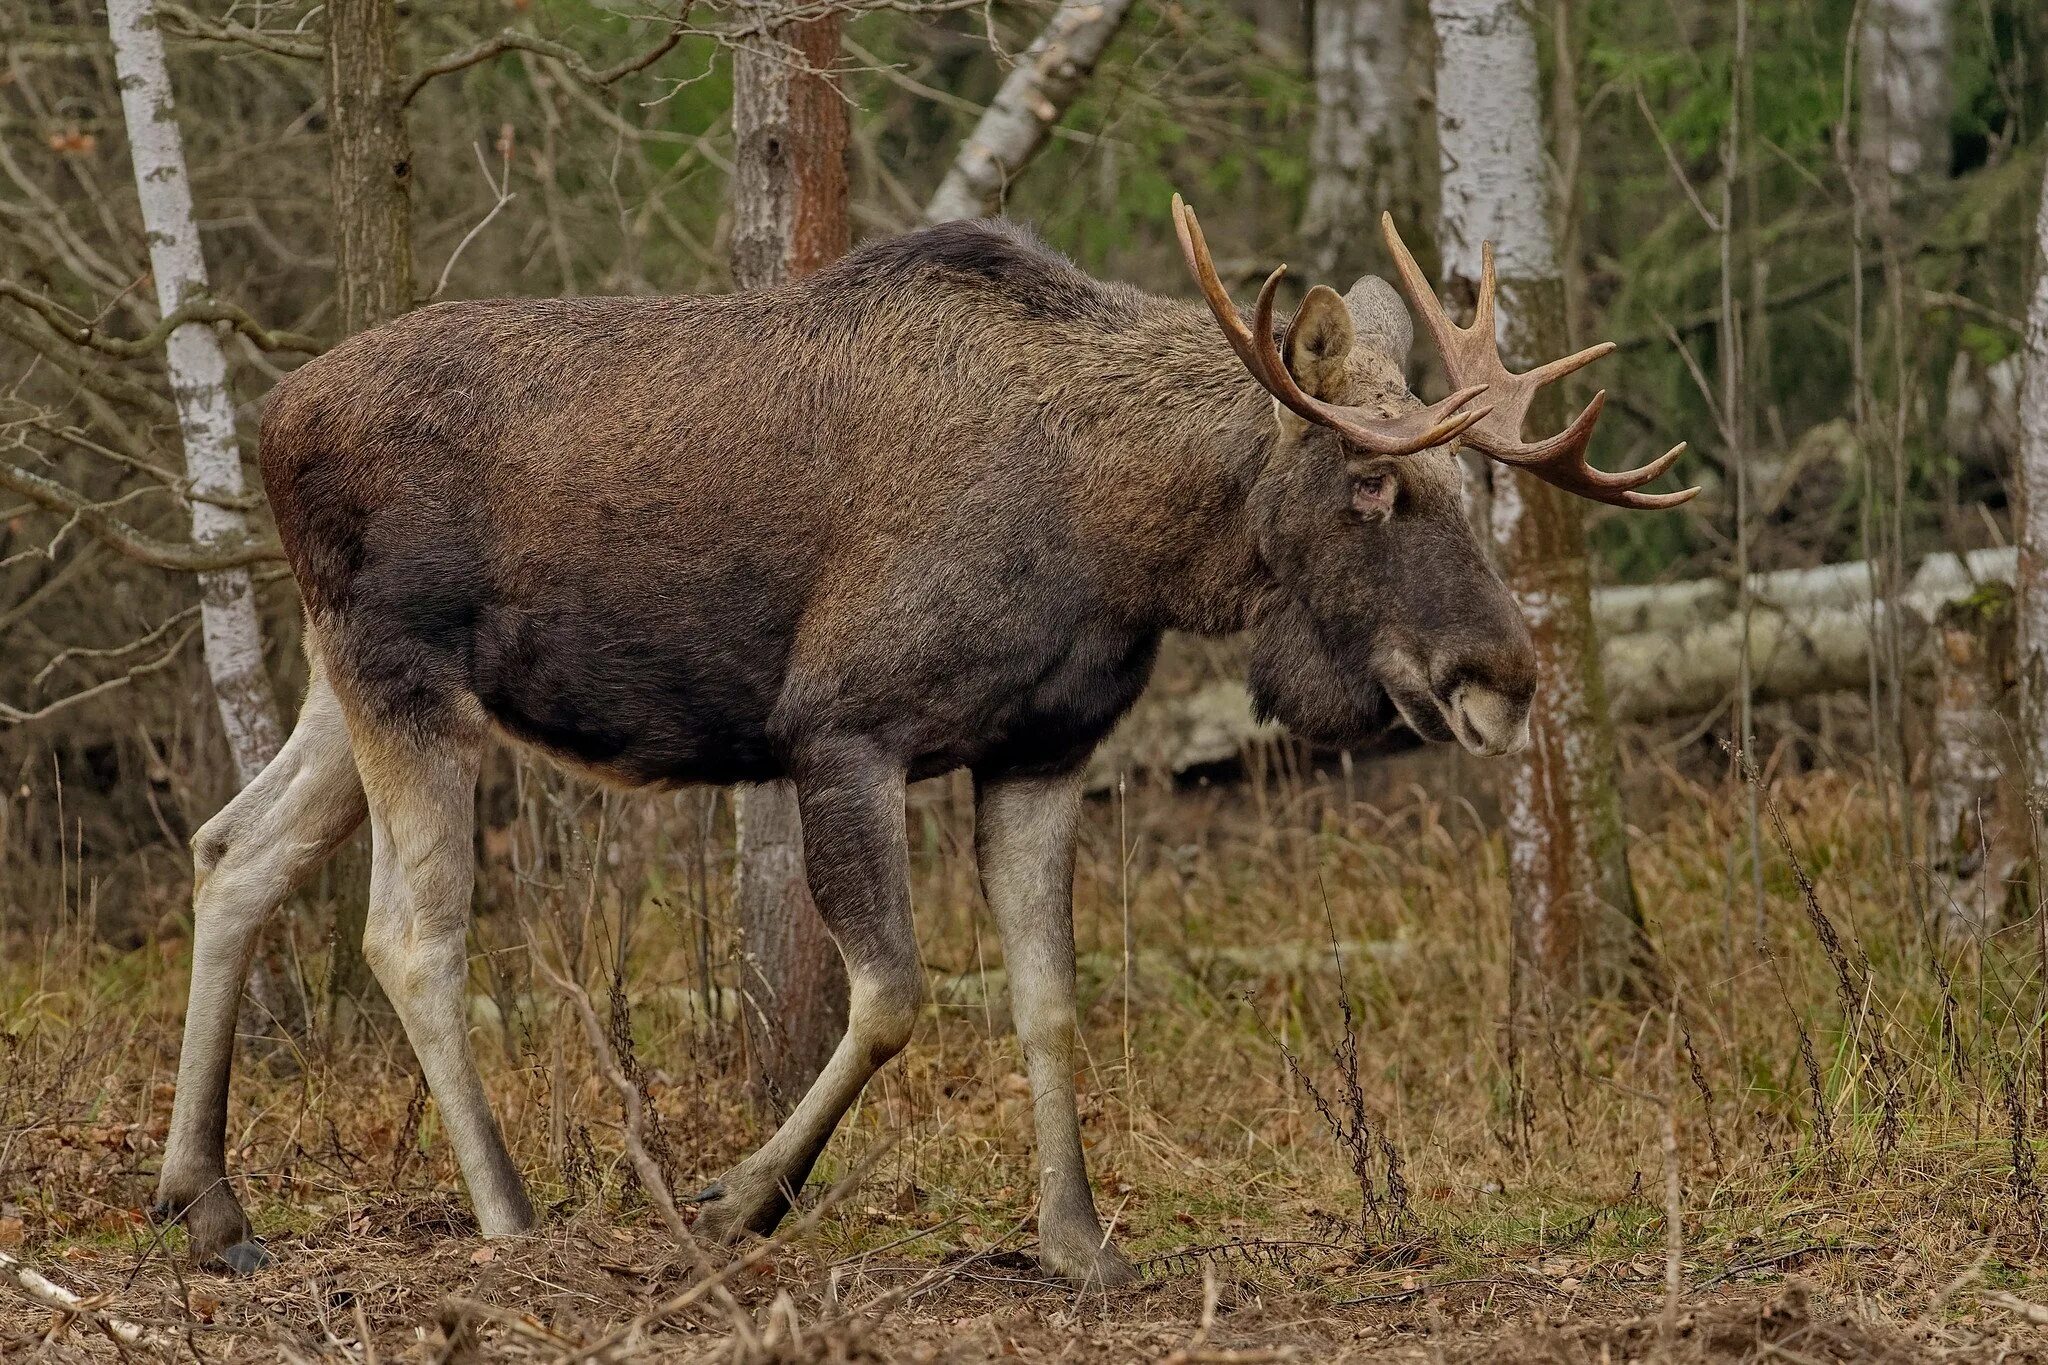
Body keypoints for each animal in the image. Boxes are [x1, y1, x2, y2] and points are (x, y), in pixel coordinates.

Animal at [155, 197, 1695, 1285]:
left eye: (1475, 477)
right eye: (1375, 486)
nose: (1504, 676)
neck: (1125, 538)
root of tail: (271, 420)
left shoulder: (1044, 749)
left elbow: (1047, 994)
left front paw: (1077, 1240)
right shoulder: (842, 727)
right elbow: (894, 993)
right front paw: (737, 1196)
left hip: (344, 680)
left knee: (233, 847)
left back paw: (208, 1199)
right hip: (404, 671)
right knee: (408, 932)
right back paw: (508, 1212)